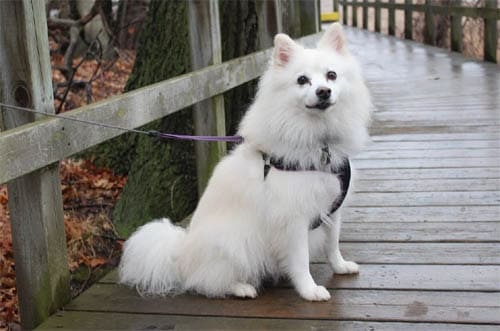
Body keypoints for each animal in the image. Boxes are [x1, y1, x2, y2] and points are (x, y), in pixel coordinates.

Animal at [120, 22, 372, 304]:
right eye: (302, 80)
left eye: (331, 75)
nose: (323, 92)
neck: (319, 140)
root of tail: (180, 256)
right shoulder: (293, 219)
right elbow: (301, 260)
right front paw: (309, 290)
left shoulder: (332, 208)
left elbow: (333, 244)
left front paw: (340, 266)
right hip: (234, 243)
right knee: (207, 283)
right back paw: (242, 288)